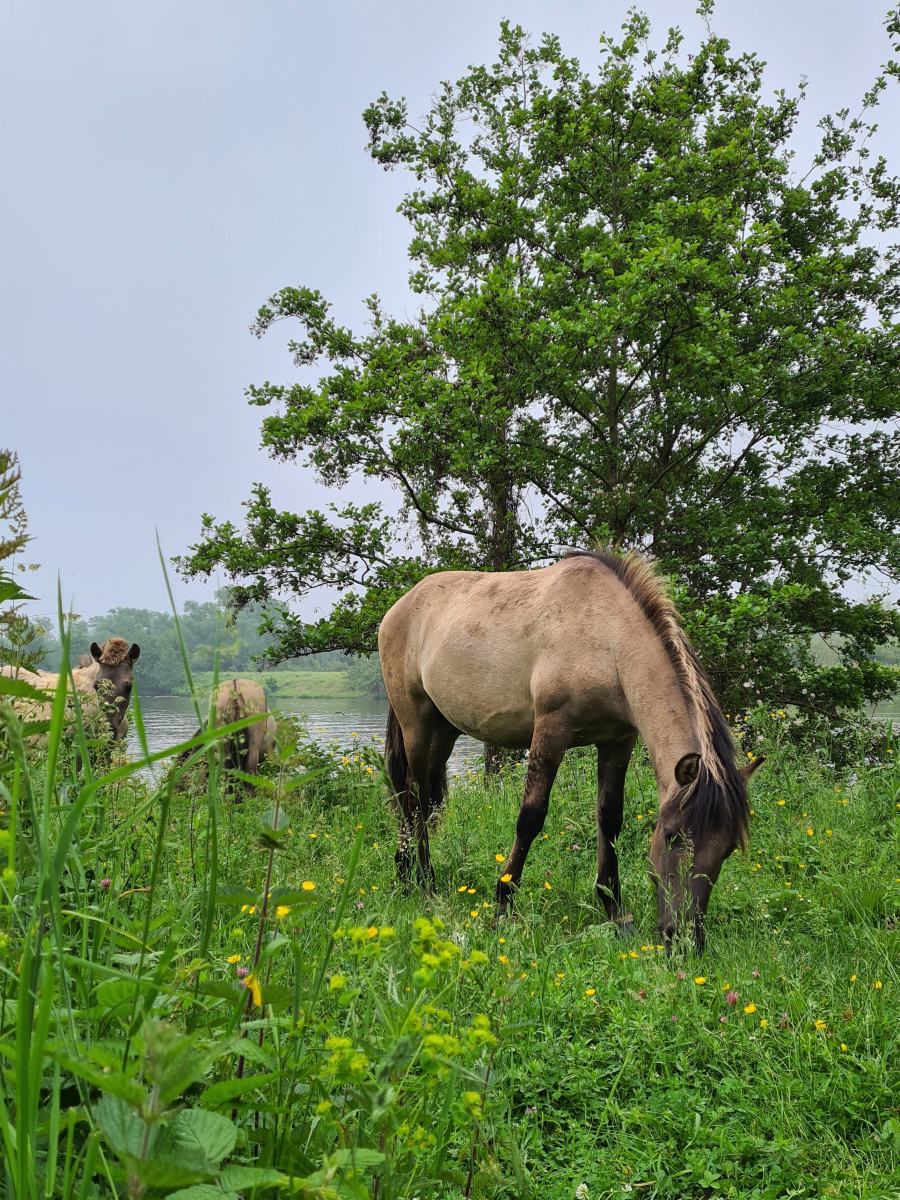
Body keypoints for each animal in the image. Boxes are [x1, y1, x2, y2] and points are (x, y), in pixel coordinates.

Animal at [376, 549, 763, 950]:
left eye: (728, 848)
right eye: (670, 835)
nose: (685, 941)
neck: (607, 639)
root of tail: (400, 606)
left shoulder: (618, 740)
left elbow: (610, 819)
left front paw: (615, 911)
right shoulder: (552, 729)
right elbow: (531, 817)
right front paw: (503, 905)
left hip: (444, 729)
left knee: (418, 798)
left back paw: (404, 873)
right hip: (416, 722)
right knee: (416, 795)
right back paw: (425, 883)